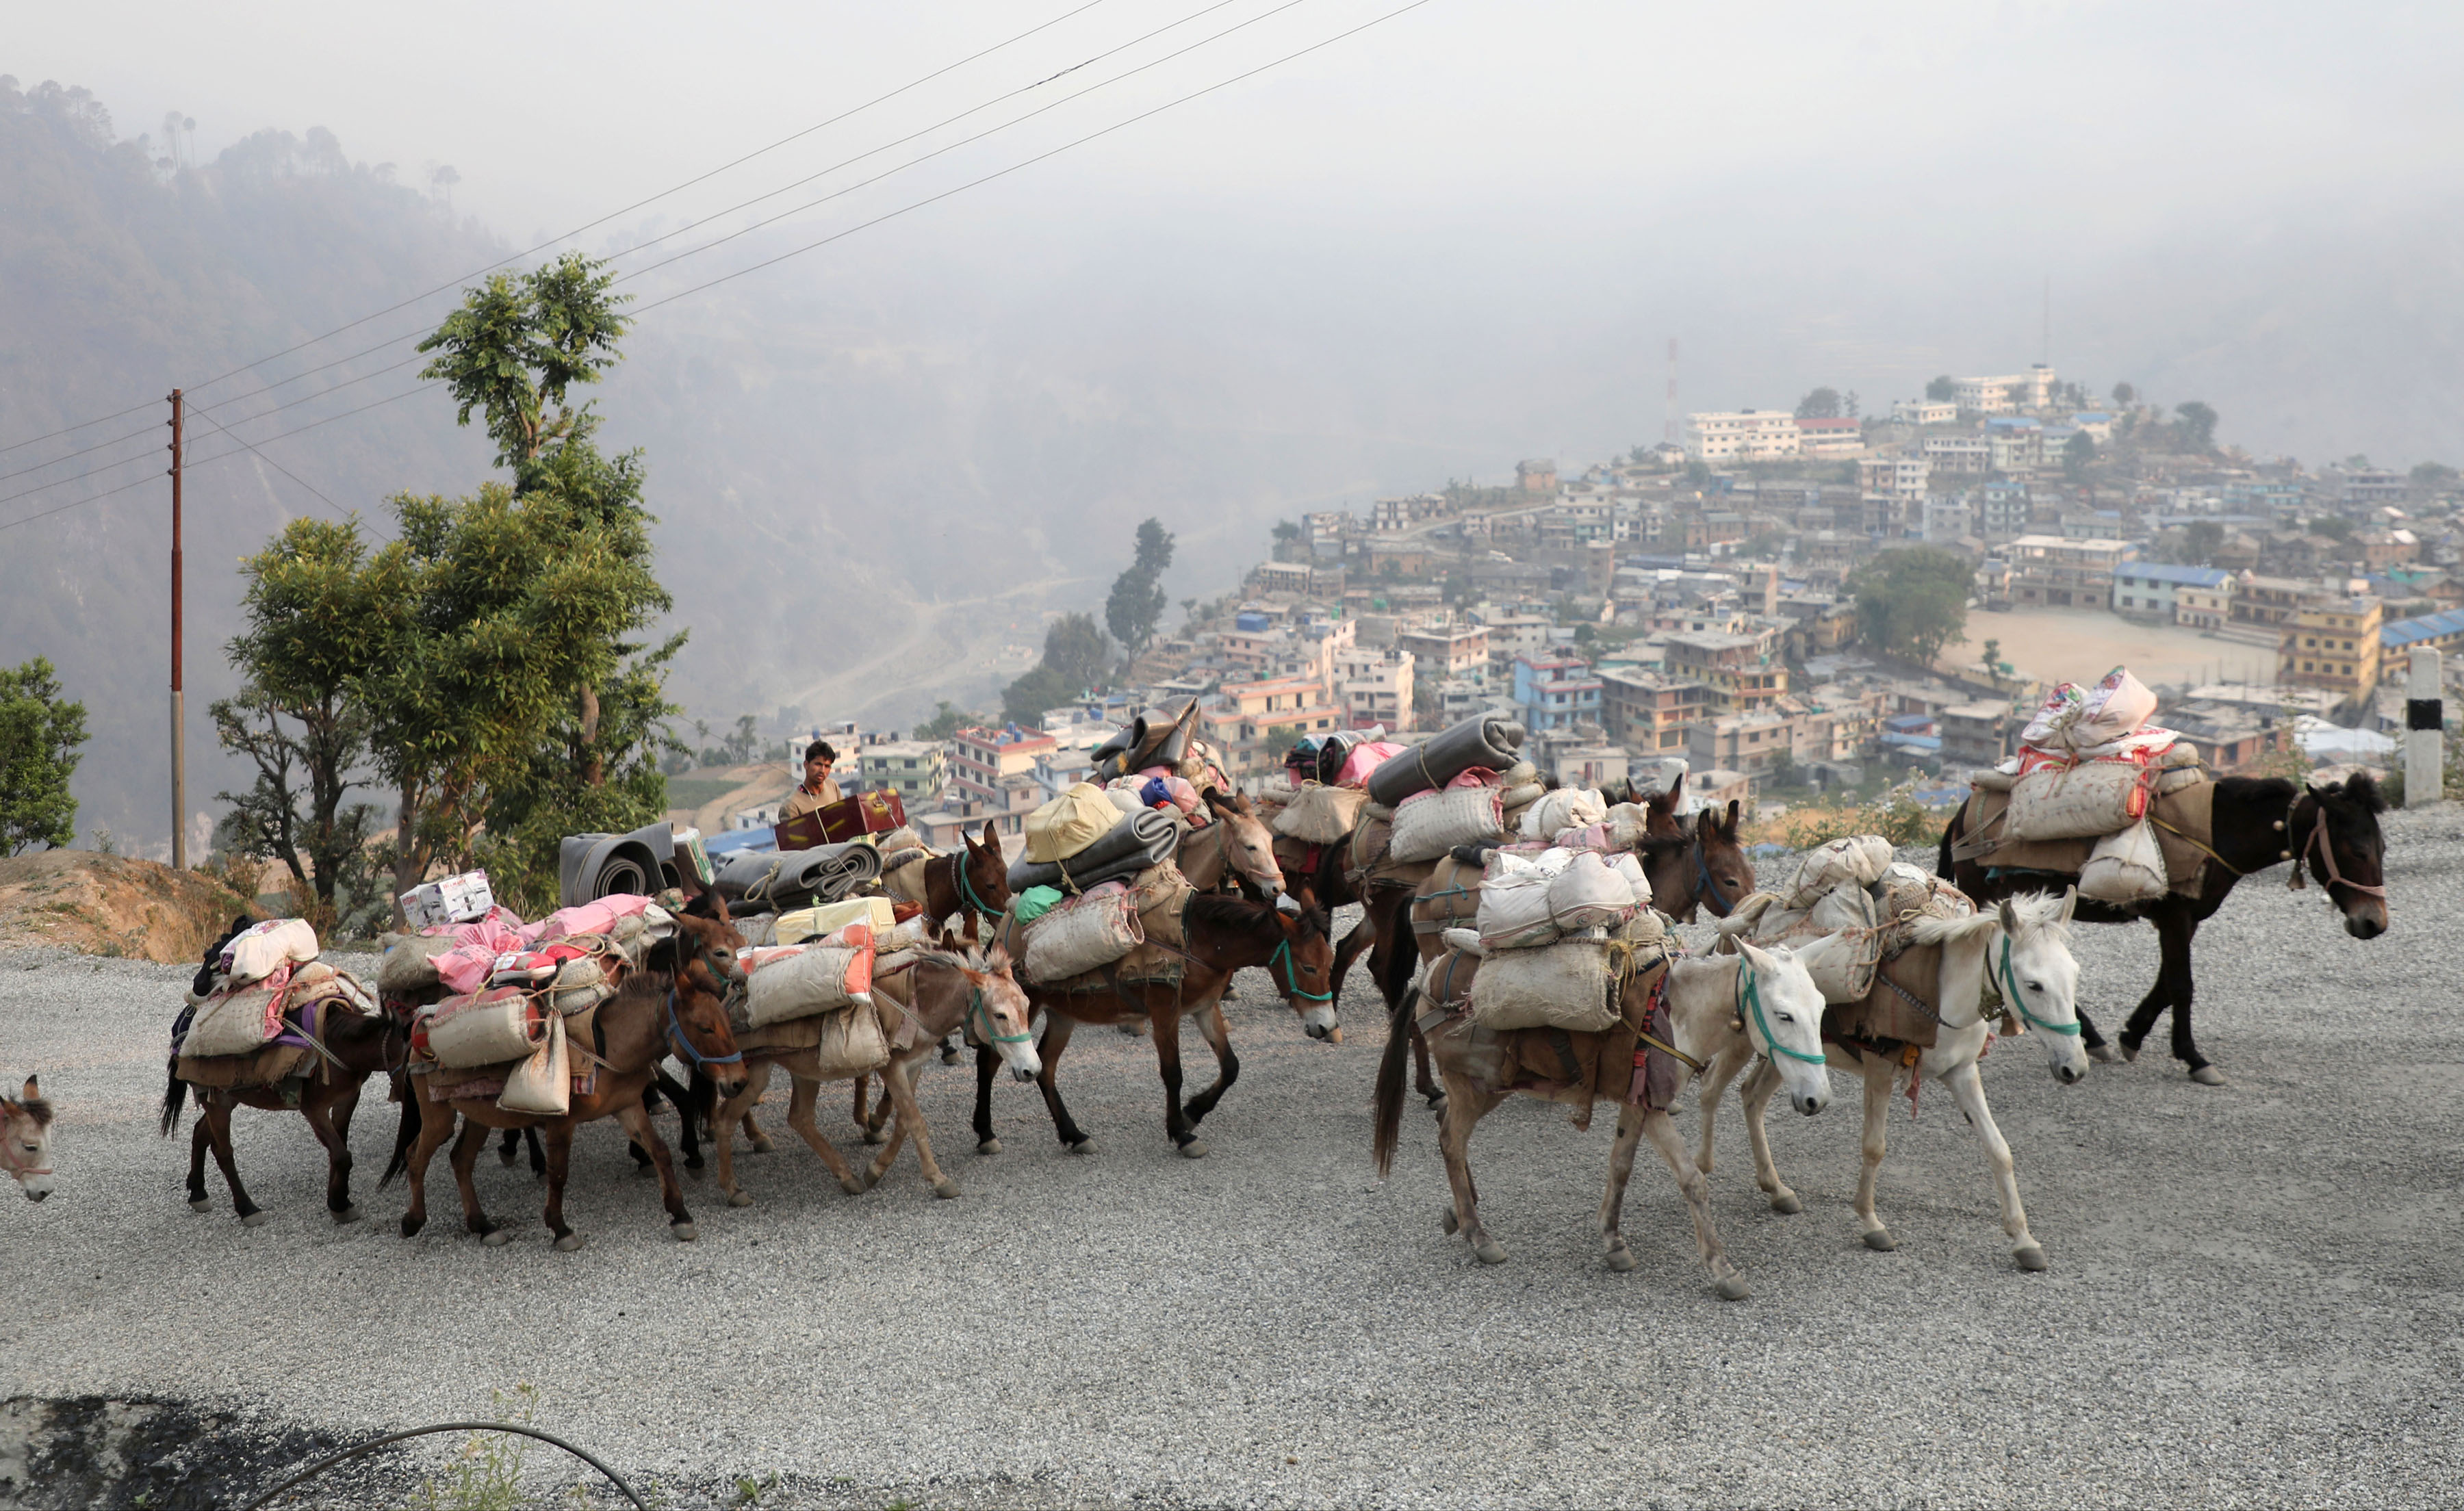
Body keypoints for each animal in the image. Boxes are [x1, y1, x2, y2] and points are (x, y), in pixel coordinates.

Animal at [384, 907, 744, 1247]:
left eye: (726, 1021)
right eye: (705, 1028)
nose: (738, 1082)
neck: (606, 1044)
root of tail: (422, 1024)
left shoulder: (628, 1107)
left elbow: (661, 1151)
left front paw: (680, 1213)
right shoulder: (561, 1121)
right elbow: (559, 1173)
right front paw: (560, 1229)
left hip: (479, 1112)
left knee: (460, 1160)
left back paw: (484, 1226)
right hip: (438, 1114)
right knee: (416, 1156)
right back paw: (413, 1220)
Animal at [1941, 774, 2385, 1079]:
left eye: (2381, 849)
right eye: (2357, 850)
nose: (2374, 922)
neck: (2215, 831)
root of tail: (1964, 815)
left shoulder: (2185, 919)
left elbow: (2167, 983)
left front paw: (2132, 1036)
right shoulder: (2175, 917)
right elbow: (2181, 985)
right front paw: (2194, 1058)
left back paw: (2095, 1038)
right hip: (1991, 900)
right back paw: (2092, 1037)